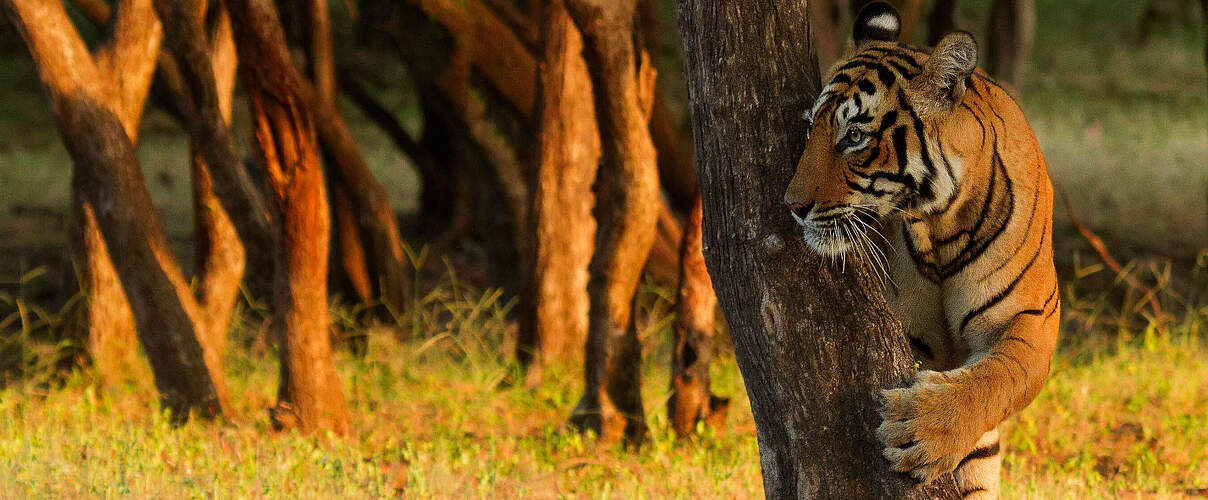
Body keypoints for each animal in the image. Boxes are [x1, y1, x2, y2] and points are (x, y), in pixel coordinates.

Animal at [782, 2, 1060, 497]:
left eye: (854, 137)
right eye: (812, 128)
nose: (792, 206)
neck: (940, 220)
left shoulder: (1030, 317)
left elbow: (998, 378)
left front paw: (921, 428)